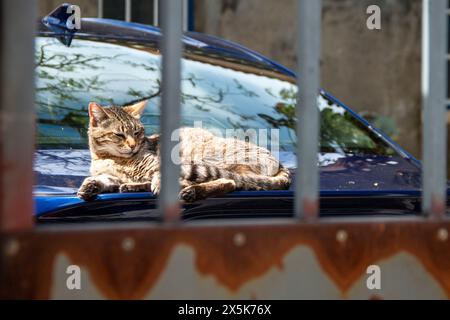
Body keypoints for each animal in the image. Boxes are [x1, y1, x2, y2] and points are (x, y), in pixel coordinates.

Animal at [77, 100, 292, 202]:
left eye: (137, 132)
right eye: (119, 135)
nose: (133, 145)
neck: (109, 158)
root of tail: (279, 161)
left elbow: (159, 175)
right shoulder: (110, 175)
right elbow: (100, 179)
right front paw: (89, 186)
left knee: (227, 181)